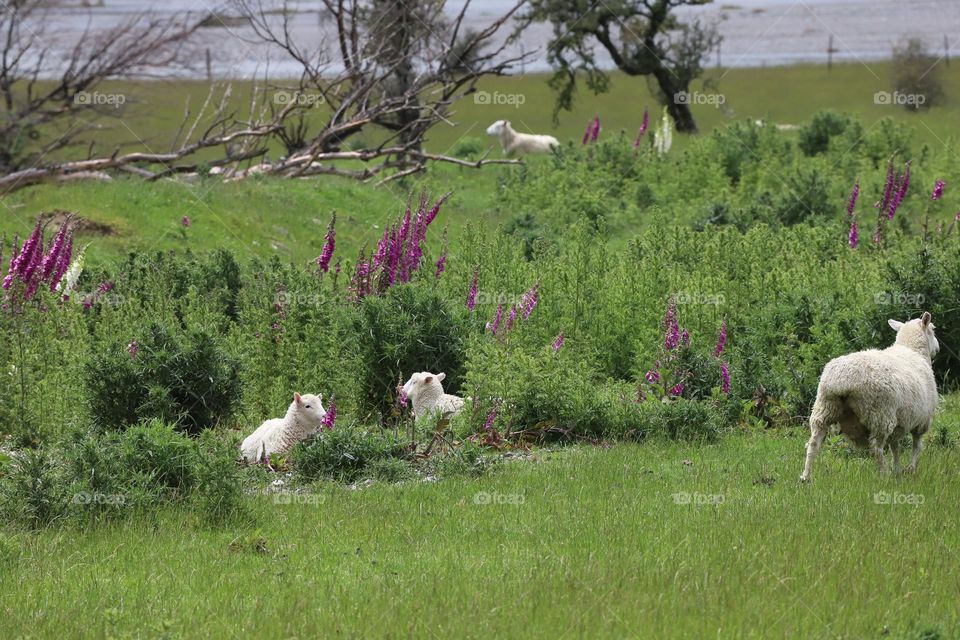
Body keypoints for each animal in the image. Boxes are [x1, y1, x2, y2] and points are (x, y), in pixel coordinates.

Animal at [800, 312, 940, 482]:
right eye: (933, 330)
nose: (937, 347)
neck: (912, 350)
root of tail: (843, 381)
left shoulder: (900, 422)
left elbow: (895, 448)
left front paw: (898, 470)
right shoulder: (922, 420)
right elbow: (917, 446)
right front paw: (910, 469)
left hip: (824, 408)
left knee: (813, 443)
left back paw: (806, 477)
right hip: (880, 415)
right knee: (876, 447)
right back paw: (884, 475)